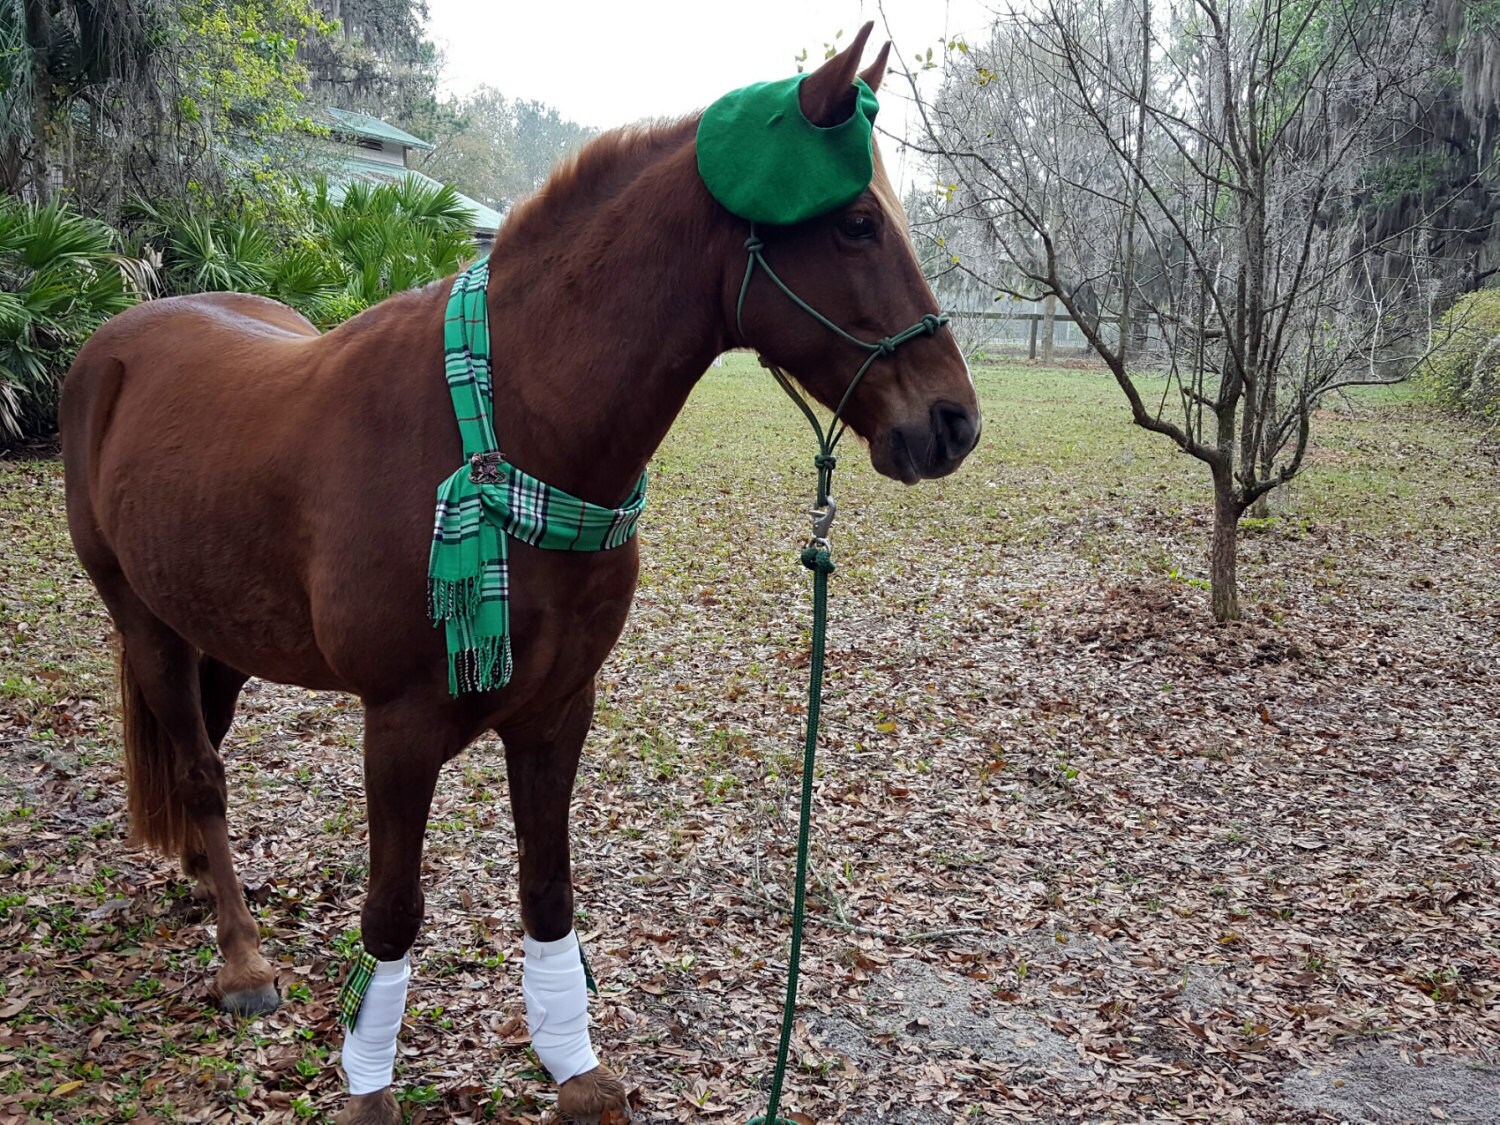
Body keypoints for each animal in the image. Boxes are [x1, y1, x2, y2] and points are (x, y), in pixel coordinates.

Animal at [58, 26, 979, 1125]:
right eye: (854, 225)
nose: (953, 422)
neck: (505, 434)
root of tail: (116, 344)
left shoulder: (557, 710)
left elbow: (548, 888)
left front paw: (572, 1065)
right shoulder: (399, 729)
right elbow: (394, 912)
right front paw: (369, 1087)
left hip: (219, 631)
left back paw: (207, 881)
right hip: (145, 622)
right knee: (201, 771)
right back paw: (240, 956)